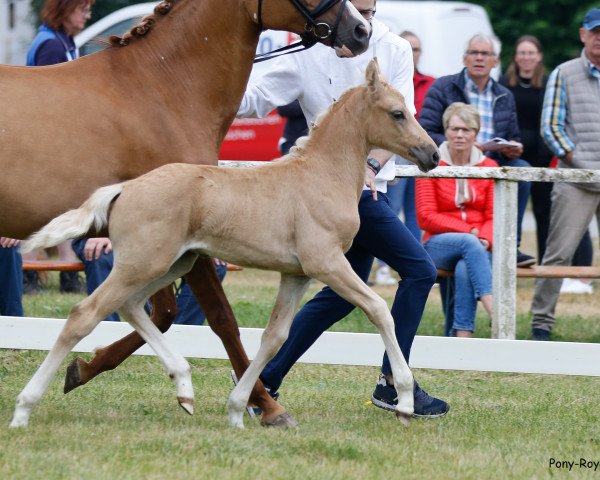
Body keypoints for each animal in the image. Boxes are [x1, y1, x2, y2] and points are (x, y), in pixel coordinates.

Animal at [11, 58, 438, 430]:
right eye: (397, 113)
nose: (432, 154)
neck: (319, 176)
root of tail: (124, 188)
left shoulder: (295, 274)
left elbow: (274, 337)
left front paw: (239, 409)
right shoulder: (327, 263)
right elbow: (379, 310)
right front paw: (404, 402)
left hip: (172, 264)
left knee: (131, 307)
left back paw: (184, 387)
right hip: (142, 263)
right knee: (85, 313)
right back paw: (24, 409)